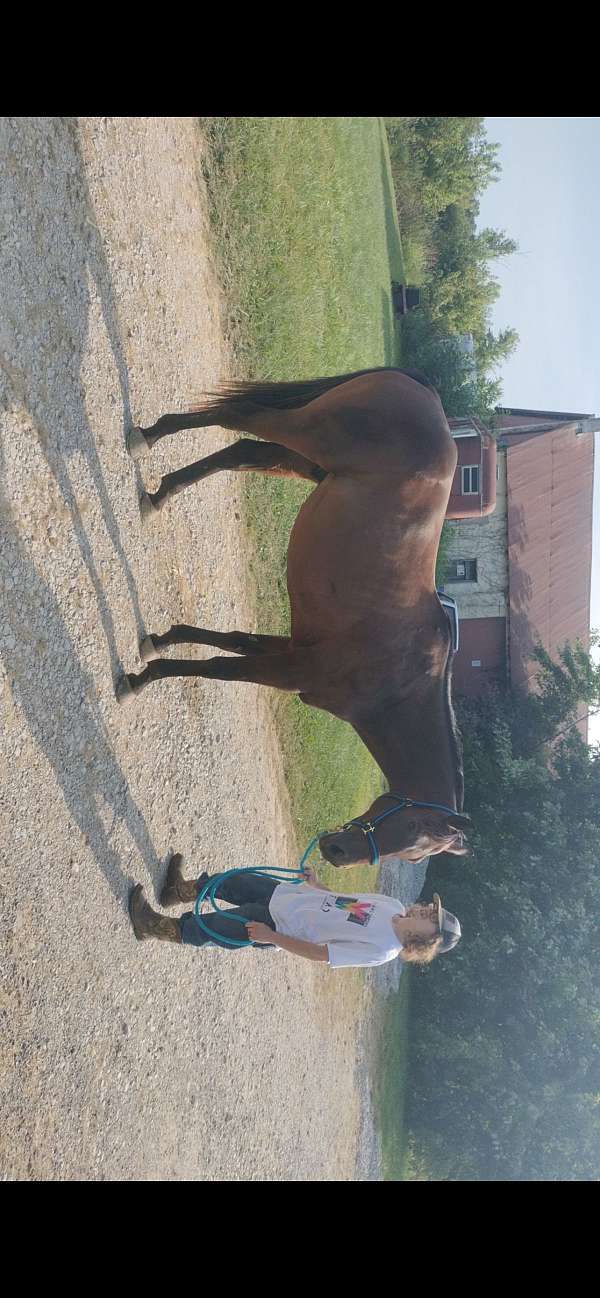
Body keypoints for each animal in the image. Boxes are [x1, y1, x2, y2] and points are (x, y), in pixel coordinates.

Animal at [116, 366, 470, 867]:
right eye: (413, 830)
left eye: (416, 857)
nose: (337, 851)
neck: (401, 678)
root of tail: (427, 397)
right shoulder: (290, 669)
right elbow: (219, 667)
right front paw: (144, 678)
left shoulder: (291, 648)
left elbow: (230, 640)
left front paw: (163, 640)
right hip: (306, 434)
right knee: (241, 416)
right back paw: (147, 439)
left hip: (300, 457)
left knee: (245, 451)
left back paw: (162, 491)